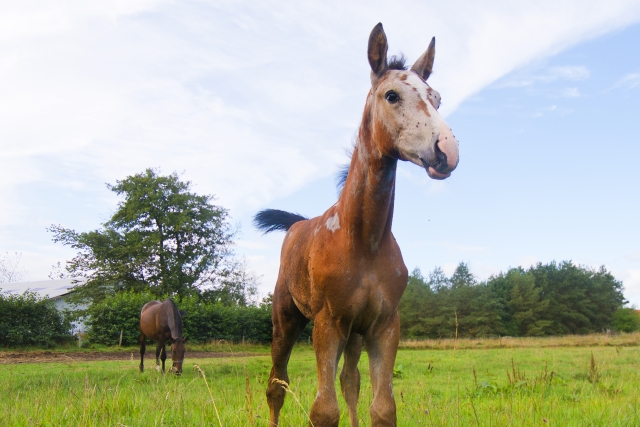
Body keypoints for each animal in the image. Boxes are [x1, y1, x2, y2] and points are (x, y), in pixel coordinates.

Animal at [253, 23, 459, 427]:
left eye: (437, 99)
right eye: (391, 95)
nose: (447, 150)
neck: (364, 239)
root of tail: (298, 224)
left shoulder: (383, 325)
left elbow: (381, 406)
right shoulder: (327, 324)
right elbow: (323, 409)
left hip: (354, 333)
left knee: (350, 379)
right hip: (285, 321)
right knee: (276, 384)